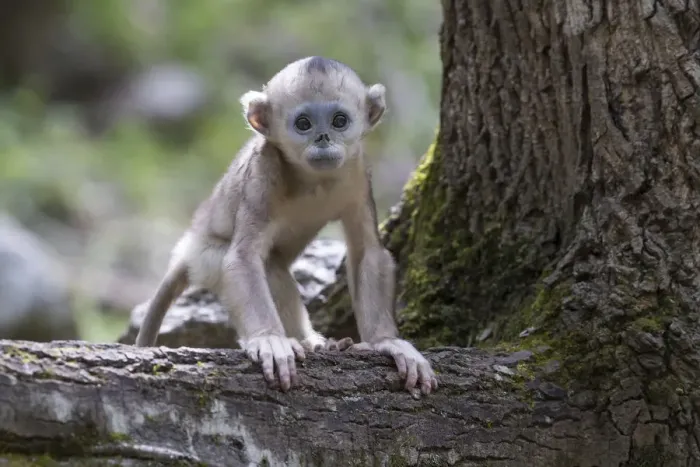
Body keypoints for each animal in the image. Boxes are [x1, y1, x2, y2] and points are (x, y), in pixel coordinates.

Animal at [135, 56, 438, 395]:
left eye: (339, 121)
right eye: (303, 124)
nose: (323, 139)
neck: (315, 182)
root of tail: (186, 252)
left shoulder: (358, 172)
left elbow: (368, 252)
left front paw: (386, 342)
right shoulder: (262, 174)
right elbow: (243, 258)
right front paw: (269, 339)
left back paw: (317, 343)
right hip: (207, 258)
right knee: (269, 268)